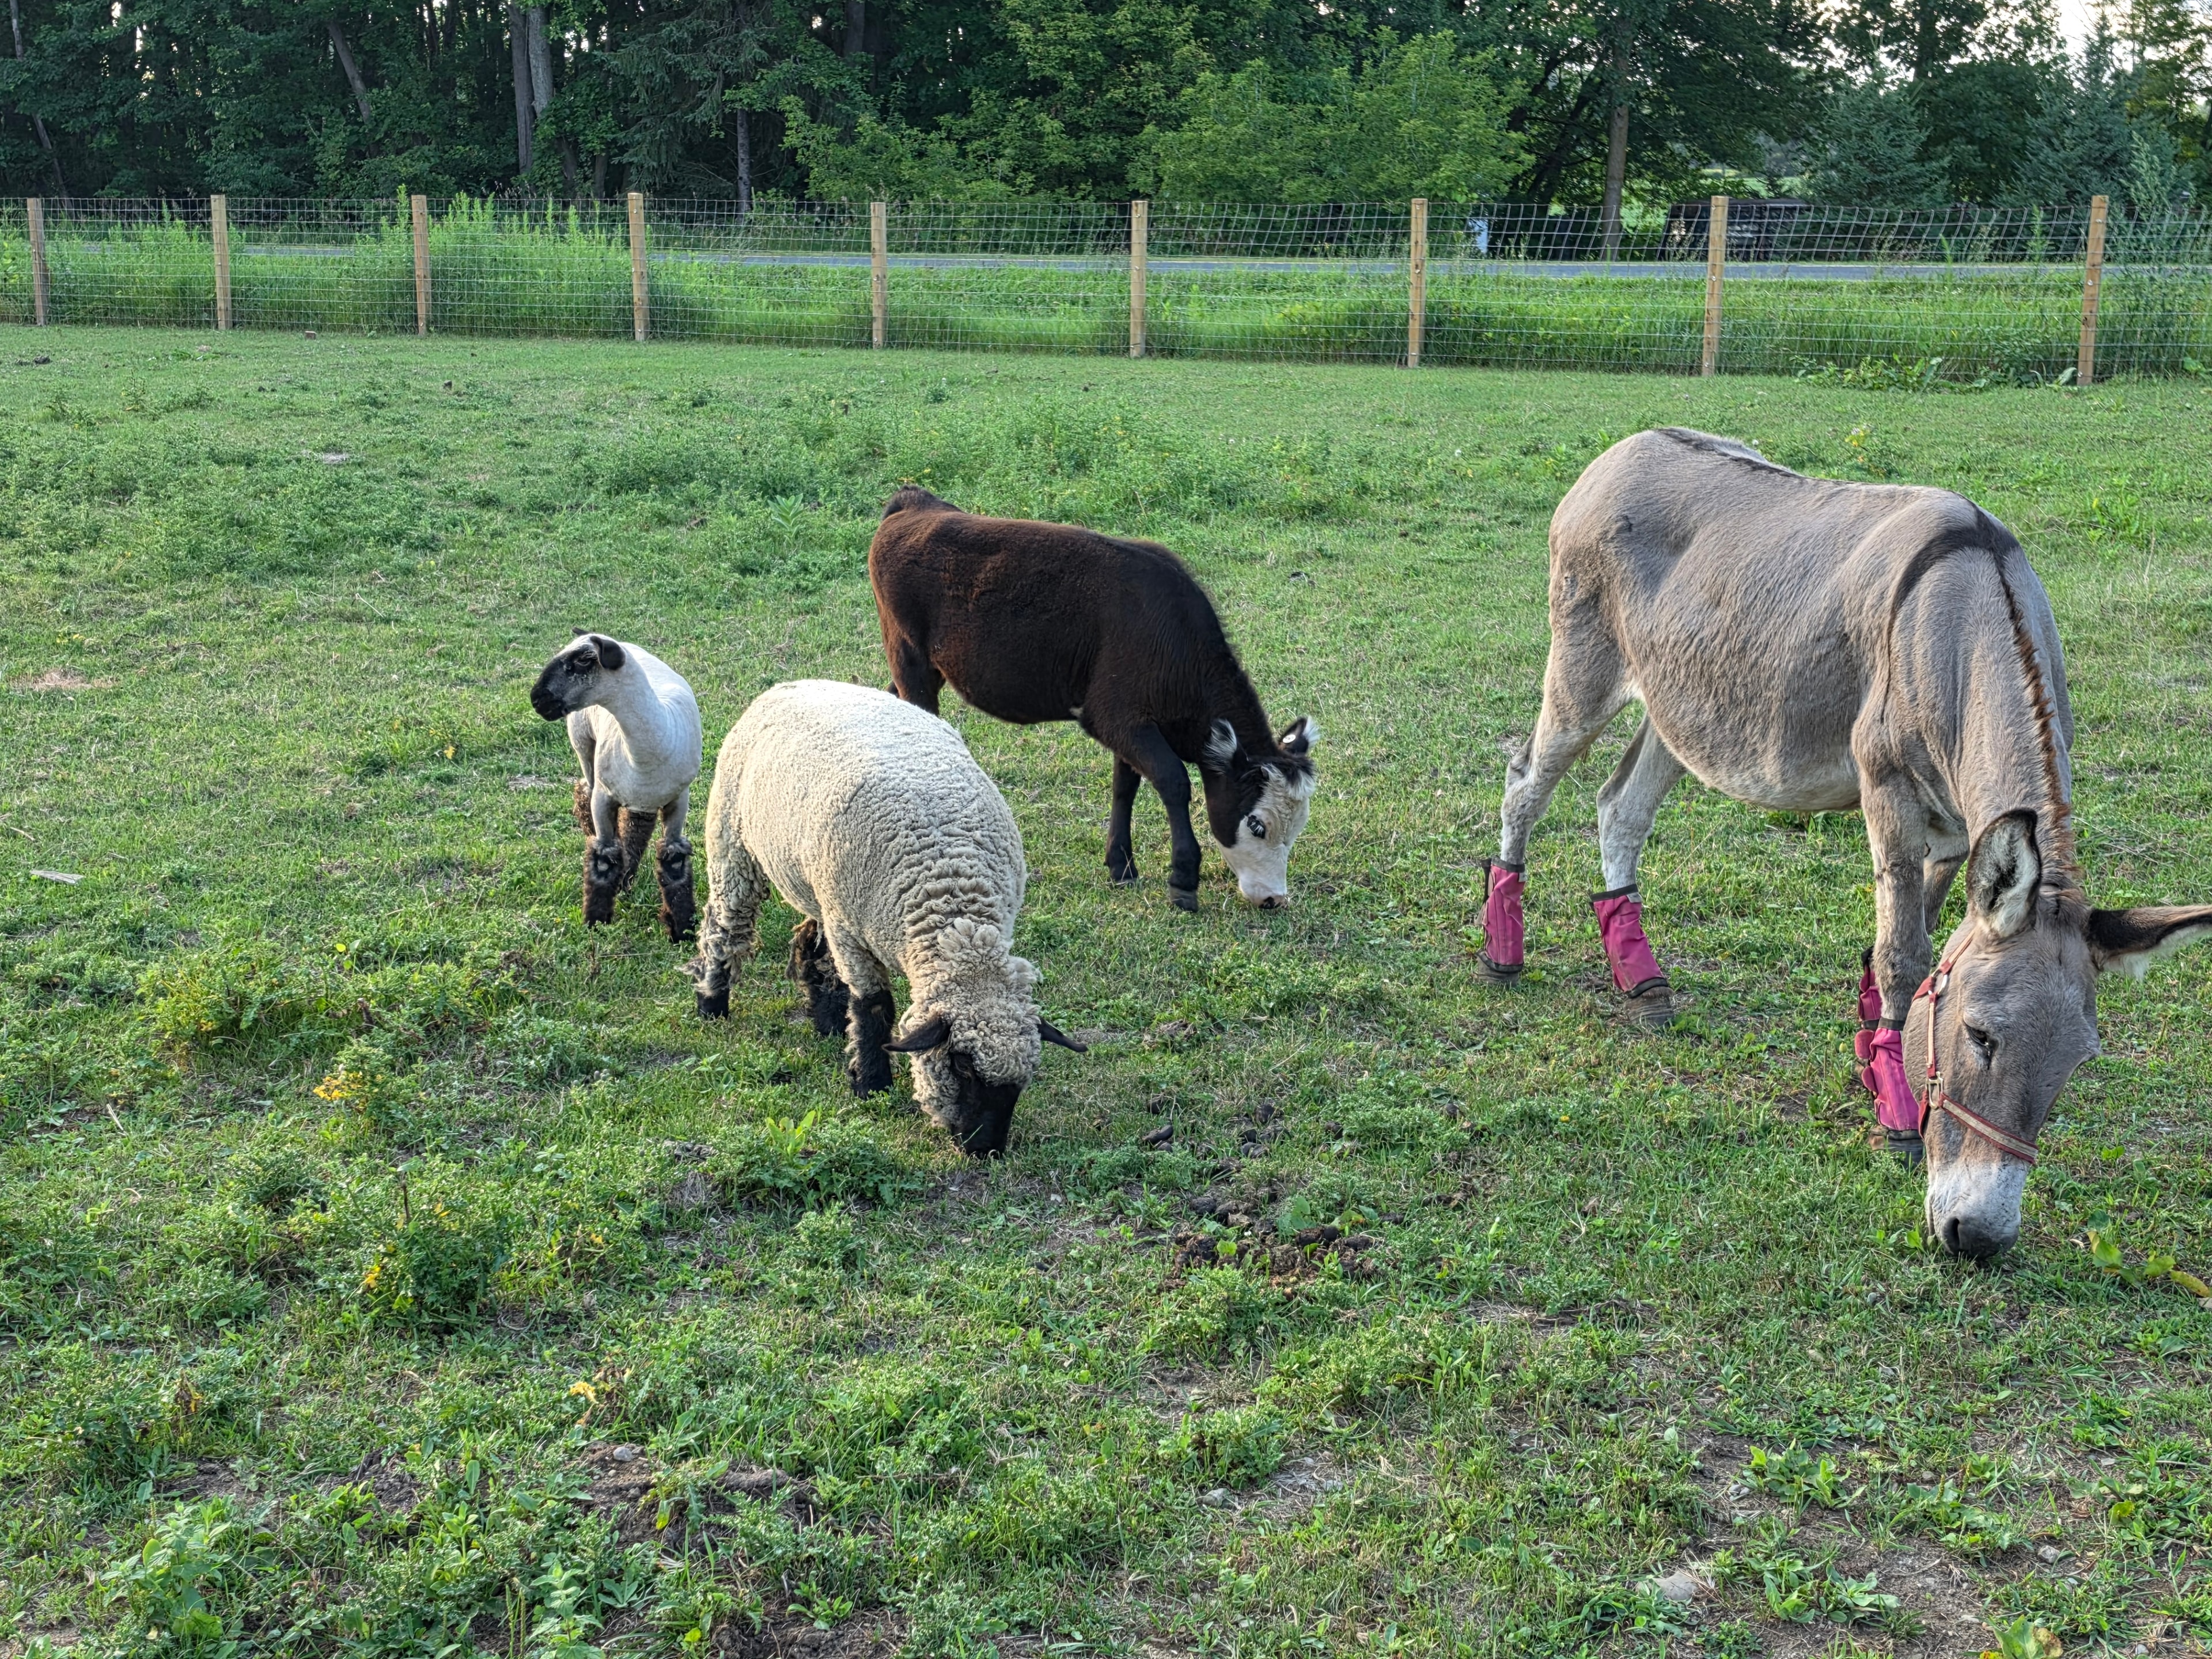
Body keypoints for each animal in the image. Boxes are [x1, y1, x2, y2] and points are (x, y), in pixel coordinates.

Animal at [530, 633, 703, 940]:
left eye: (582, 662)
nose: (537, 699)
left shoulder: (679, 800)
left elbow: (674, 864)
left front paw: (682, 930)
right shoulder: (604, 797)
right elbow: (603, 859)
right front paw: (595, 922)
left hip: (641, 799)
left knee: (636, 829)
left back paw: (628, 877)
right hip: (583, 745)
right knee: (584, 794)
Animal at [685, 679, 1084, 1156]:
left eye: (1022, 1083)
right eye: (961, 1066)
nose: (986, 1149)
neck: (949, 894)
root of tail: (796, 684)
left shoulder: (846, 916)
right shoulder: (852, 933)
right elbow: (874, 1006)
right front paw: (870, 1083)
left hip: (818, 884)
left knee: (812, 940)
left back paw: (825, 1018)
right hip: (733, 843)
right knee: (725, 924)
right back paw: (712, 1000)